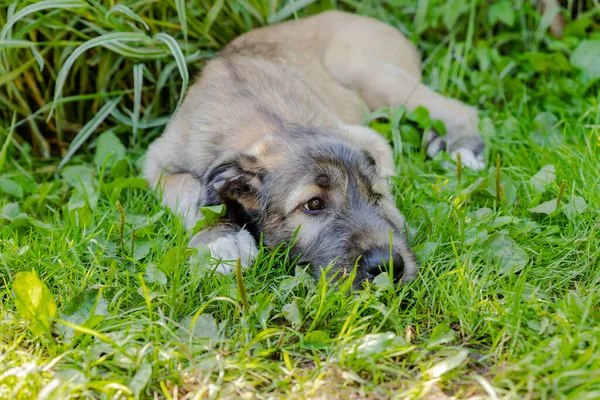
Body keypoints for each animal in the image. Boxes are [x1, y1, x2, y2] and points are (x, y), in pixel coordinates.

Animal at [145, 10, 488, 288]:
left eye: (375, 195)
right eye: (313, 204)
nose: (389, 266)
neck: (261, 118)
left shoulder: (365, 136)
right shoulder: (157, 162)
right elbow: (189, 191)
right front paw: (220, 238)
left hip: (363, 70)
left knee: (456, 108)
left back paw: (463, 147)